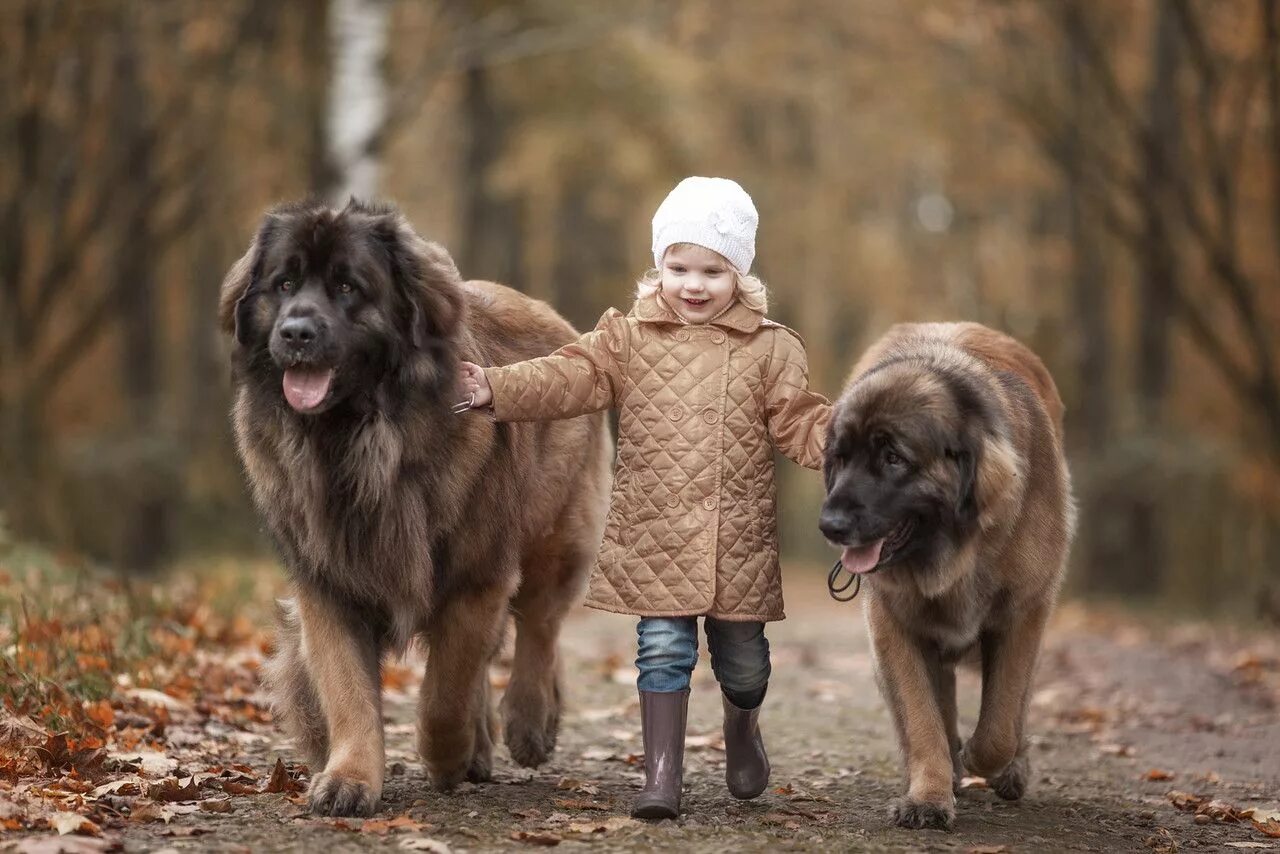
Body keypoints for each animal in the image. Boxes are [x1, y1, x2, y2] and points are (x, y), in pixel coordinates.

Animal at [218, 197, 609, 819]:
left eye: (348, 286)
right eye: (283, 284)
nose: (295, 332)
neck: (360, 442)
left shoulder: (475, 577)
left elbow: (443, 693)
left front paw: (446, 757)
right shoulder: (331, 585)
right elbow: (349, 691)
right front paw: (351, 777)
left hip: (557, 536)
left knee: (539, 627)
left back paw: (528, 722)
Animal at [819, 320, 1070, 829]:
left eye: (893, 458)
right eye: (840, 457)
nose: (830, 525)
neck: (955, 557)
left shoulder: (1023, 612)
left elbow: (1001, 721)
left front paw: (983, 759)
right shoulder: (893, 625)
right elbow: (922, 716)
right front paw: (930, 795)